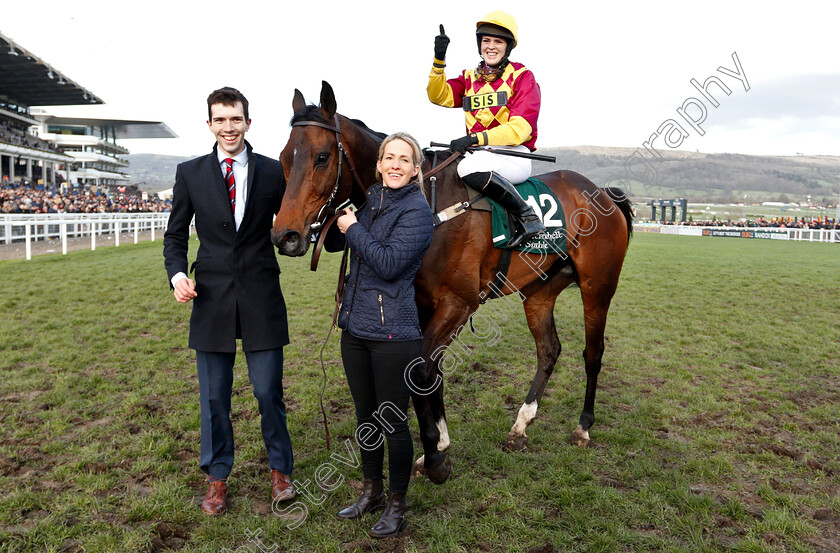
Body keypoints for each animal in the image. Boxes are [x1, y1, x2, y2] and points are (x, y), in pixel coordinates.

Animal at [272, 82, 632, 484]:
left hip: (598, 288)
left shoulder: (458, 303)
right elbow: (429, 373)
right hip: (539, 293)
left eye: (321, 157)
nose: (285, 236)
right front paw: (440, 442)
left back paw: (583, 426)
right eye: (284, 157)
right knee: (549, 350)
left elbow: (420, 370)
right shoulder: (421, 303)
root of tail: (601, 191)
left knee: (593, 352)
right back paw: (520, 426)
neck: (429, 205)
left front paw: (434, 455)